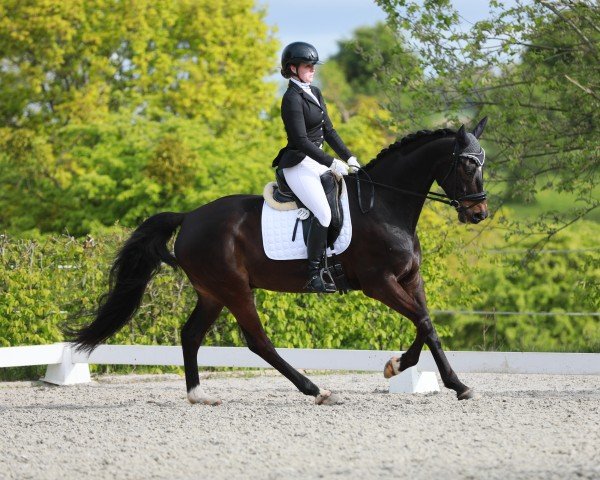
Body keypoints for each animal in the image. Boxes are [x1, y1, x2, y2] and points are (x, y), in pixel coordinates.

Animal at [71, 118, 492, 404]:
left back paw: (198, 395)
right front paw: (441, 380)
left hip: (212, 293)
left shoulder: (409, 279)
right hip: (234, 289)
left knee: (191, 334)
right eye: (467, 165)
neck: (384, 204)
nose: (479, 214)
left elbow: (427, 325)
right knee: (258, 341)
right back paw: (316, 390)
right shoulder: (379, 283)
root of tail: (188, 217)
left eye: (482, 163)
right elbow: (423, 321)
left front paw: (416, 371)